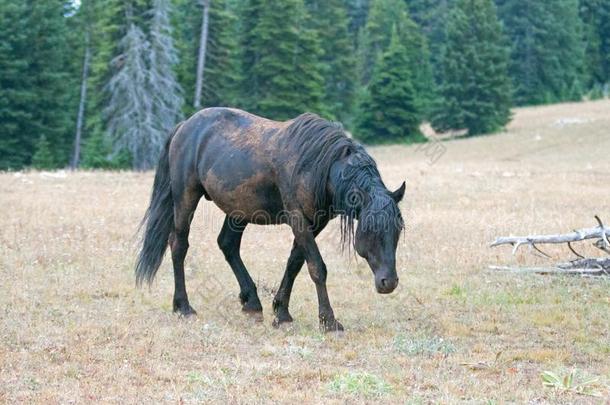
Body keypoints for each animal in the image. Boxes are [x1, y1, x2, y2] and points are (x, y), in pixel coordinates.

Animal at [137, 108, 404, 332]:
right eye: (370, 230)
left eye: (398, 229)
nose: (388, 282)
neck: (319, 164)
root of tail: (184, 125)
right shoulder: (298, 219)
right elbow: (317, 267)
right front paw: (329, 321)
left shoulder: (315, 222)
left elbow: (295, 263)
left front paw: (282, 312)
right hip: (185, 198)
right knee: (179, 245)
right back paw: (183, 307)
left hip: (237, 211)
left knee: (228, 245)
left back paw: (252, 303)